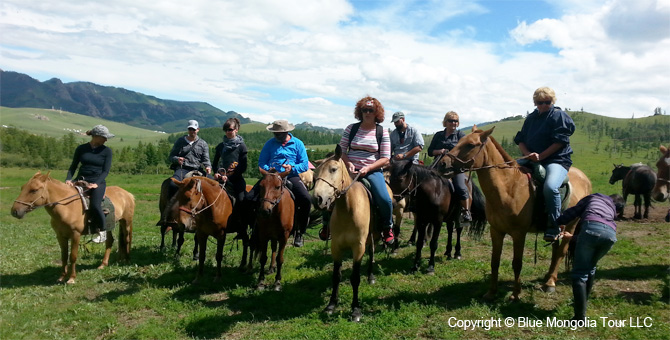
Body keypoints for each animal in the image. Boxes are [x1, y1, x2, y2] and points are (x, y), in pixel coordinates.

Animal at [312, 145, 386, 322]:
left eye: (333, 169)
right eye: (315, 174)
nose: (317, 199)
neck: (348, 208)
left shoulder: (358, 247)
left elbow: (355, 278)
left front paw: (355, 309)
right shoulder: (336, 247)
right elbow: (336, 276)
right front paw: (331, 305)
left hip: (373, 236)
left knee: (372, 253)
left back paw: (371, 276)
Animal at [438, 127, 592, 300]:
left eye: (470, 144)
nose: (443, 164)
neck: (508, 187)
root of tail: (585, 178)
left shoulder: (519, 234)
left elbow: (517, 263)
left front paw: (516, 294)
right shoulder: (496, 231)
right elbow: (495, 261)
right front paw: (491, 292)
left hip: (571, 226)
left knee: (560, 253)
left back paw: (551, 283)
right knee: (555, 250)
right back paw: (548, 277)